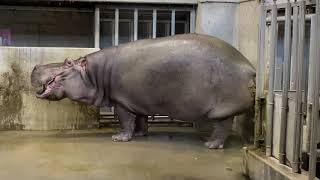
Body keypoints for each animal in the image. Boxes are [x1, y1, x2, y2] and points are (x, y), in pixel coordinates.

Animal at [30, 33, 255, 149]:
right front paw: (140, 134)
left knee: (223, 126)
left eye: (68, 62)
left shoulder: (121, 102)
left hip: (224, 108)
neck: (94, 74)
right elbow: (140, 119)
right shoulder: (137, 100)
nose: (36, 66)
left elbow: (126, 120)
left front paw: (119, 138)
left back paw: (210, 144)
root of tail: (249, 66)